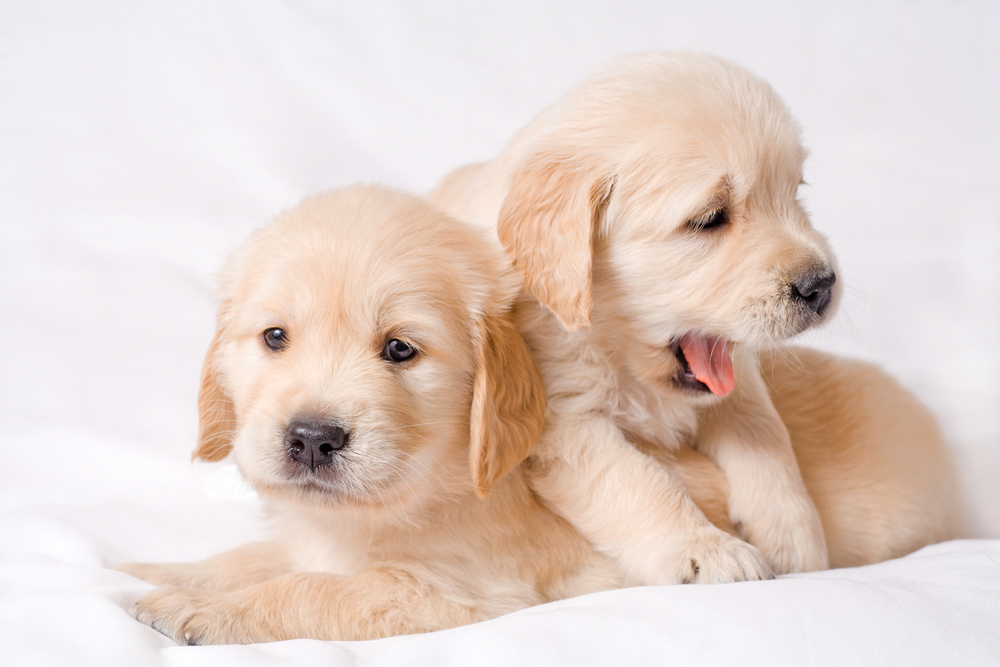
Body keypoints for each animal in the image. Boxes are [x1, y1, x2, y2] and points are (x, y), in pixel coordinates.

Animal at [119, 185, 632, 644]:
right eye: (274, 336)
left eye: (400, 348)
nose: (312, 438)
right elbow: (254, 557)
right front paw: (158, 571)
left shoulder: (460, 591)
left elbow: (311, 590)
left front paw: (203, 608)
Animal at [434, 51, 964, 584]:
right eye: (709, 219)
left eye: (795, 192)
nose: (821, 285)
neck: (616, 352)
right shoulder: (562, 421)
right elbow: (639, 481)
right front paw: (707, 549)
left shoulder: (738, 372)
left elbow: (764, 433)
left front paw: (792, 533)